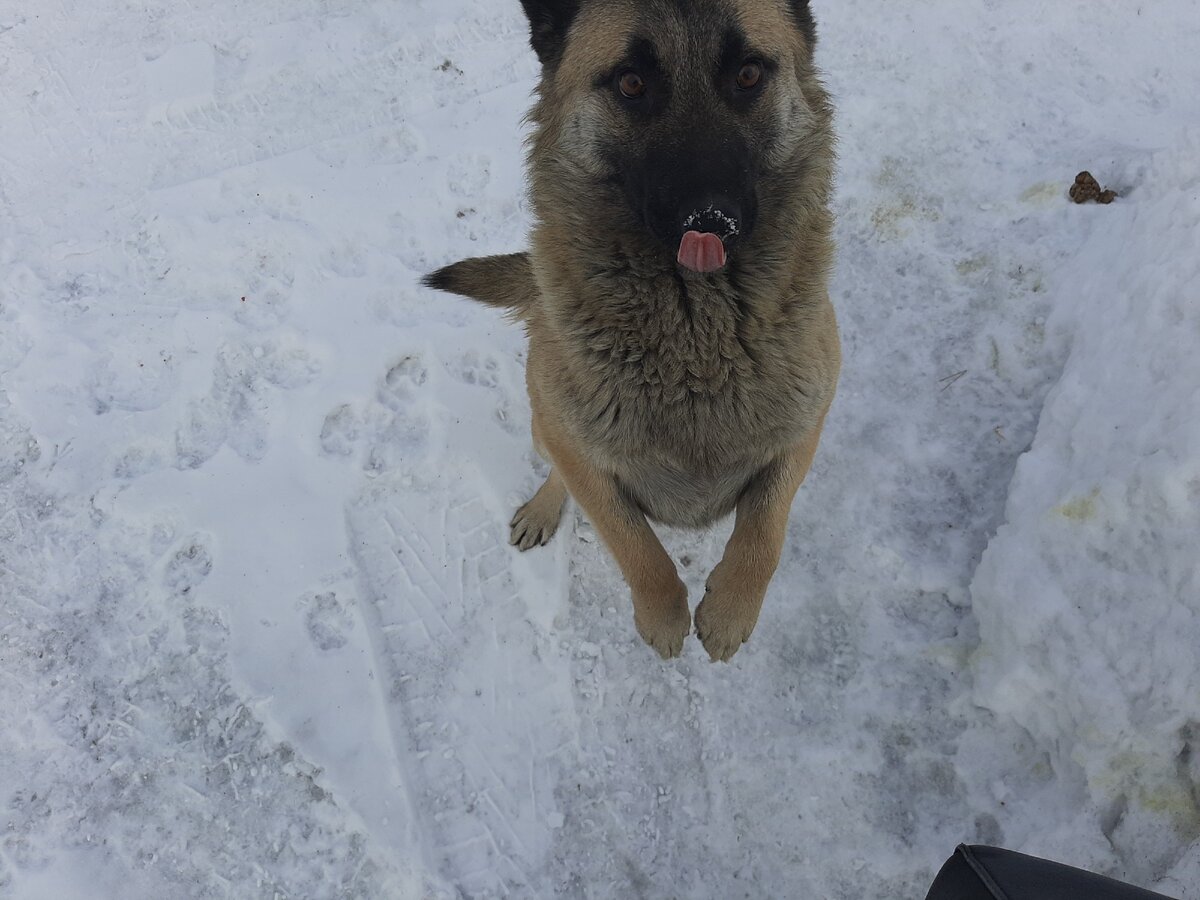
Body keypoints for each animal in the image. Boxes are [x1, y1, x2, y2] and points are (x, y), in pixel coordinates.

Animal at [425, 0, 839, 661]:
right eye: (632, 84)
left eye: (749, 74)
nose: (710, 217)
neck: (696, 342)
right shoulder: (584, 454)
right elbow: (635, 546)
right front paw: (664, 617)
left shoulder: (803, 430)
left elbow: (765, 532)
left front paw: (730, 611)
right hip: (545, 423)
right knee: (556, 470)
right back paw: (543, 509)